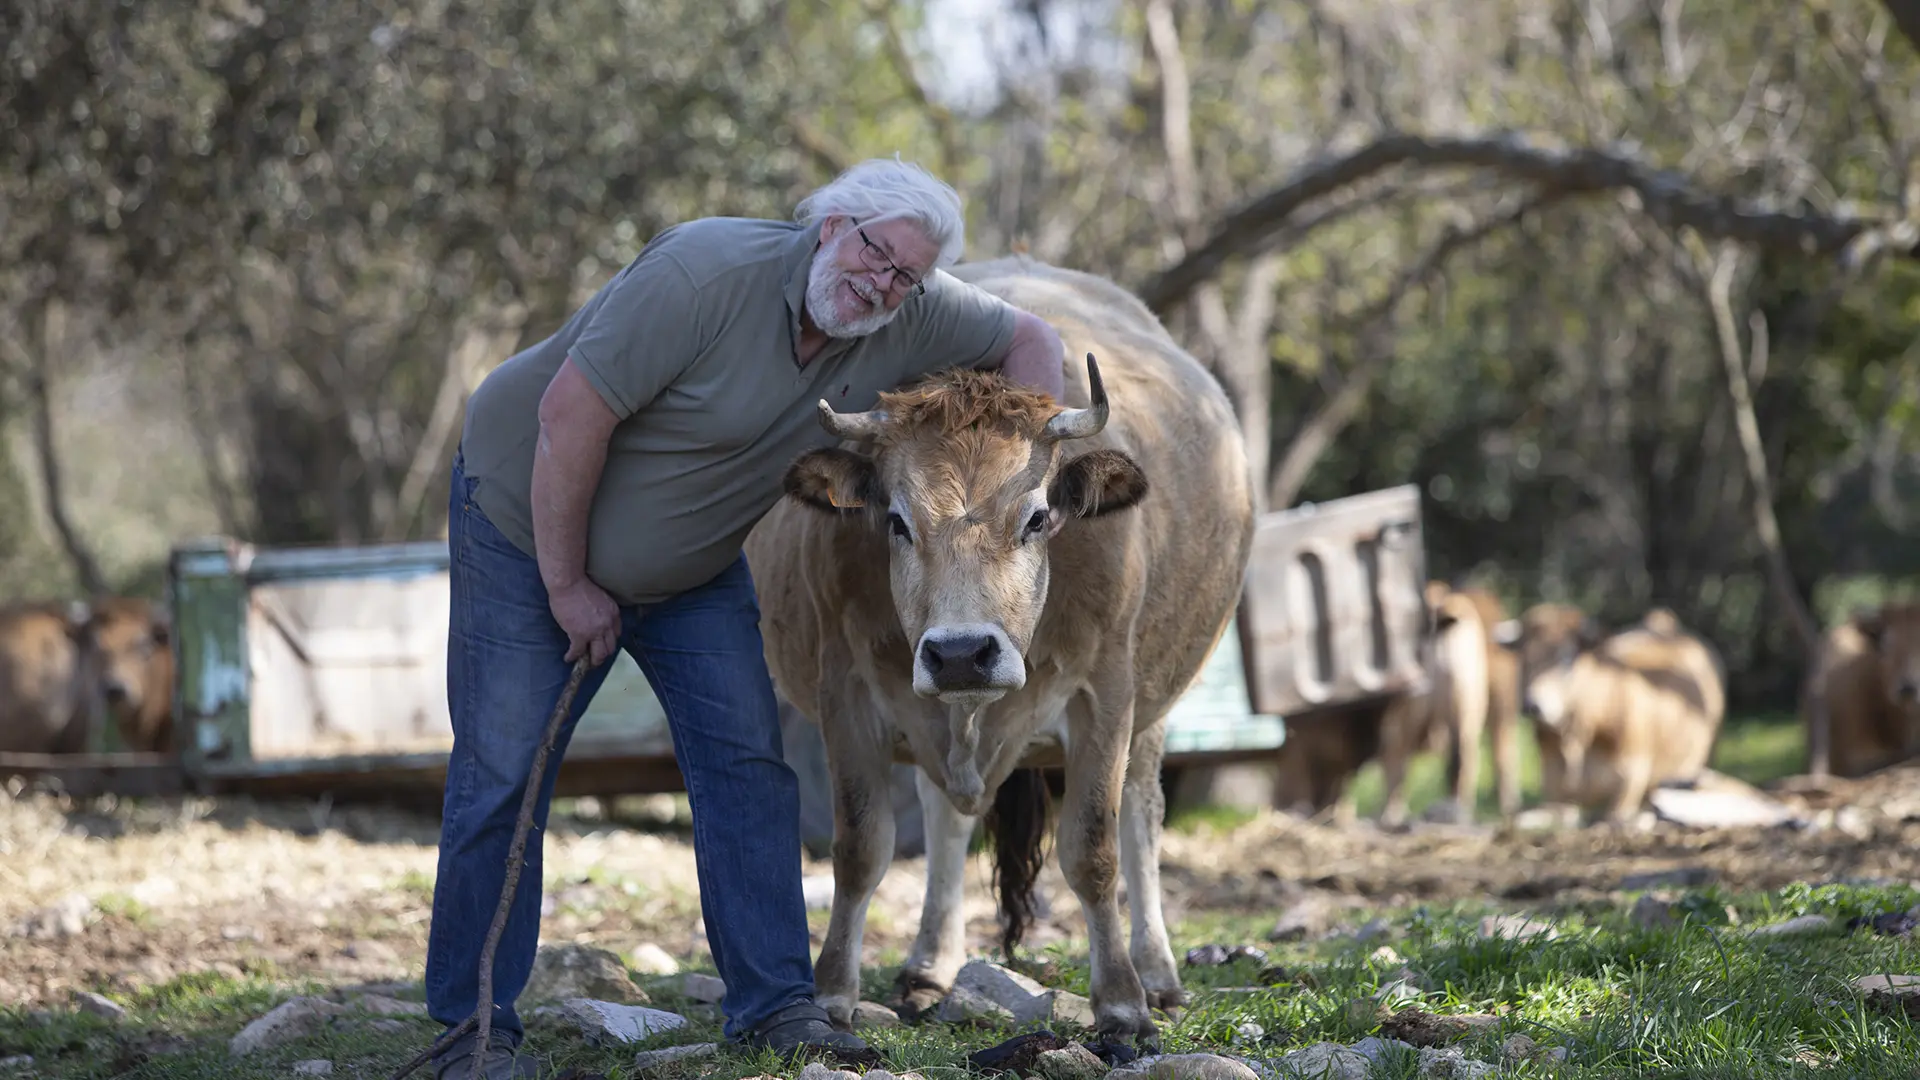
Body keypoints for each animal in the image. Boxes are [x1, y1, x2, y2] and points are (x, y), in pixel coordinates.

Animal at [744, 255, 1255, 1040]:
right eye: (896, 520)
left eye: (1038, 516)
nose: (960, 653)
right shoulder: (847, 694)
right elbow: (860, 849)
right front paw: (830, 992)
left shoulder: (1105, 695)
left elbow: (1095, 849)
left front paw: (1121, 1003)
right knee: (945, 816)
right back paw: (930, 967)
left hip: (1154, 707)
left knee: (1142, 819)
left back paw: (1159, 973)